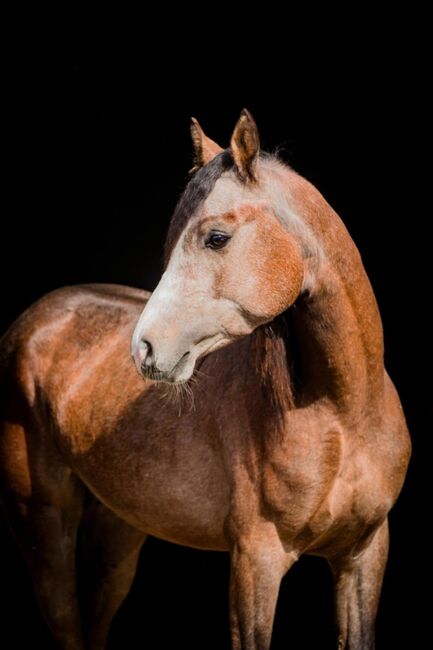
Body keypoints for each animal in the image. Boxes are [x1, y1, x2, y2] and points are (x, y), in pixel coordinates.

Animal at [0, 109, 410, 644]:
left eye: (216, 237)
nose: (144, 348)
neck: (345, 417)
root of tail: (38, 318)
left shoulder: (363, 555)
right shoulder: (256, 562)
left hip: (117, 534)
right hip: (43, 527)